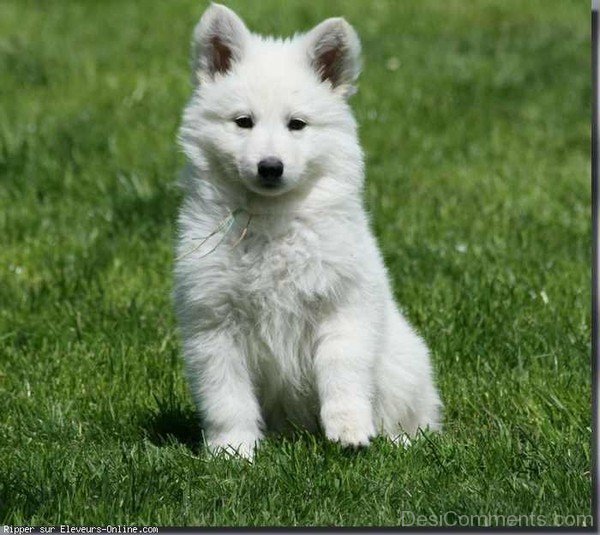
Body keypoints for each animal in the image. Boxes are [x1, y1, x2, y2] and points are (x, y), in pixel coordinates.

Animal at [173, 2, 440, 458]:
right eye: (243, 122)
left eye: (296, 124)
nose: (270, 167)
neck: (271, 220)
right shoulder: (214, 324)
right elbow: (227, 397)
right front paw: (232, 452)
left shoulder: (342, 306)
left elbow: (342, 373)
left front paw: (349, 432)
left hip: (403, 363)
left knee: (412, 417)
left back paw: (400, 442)